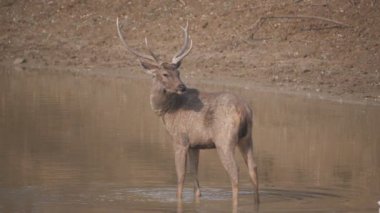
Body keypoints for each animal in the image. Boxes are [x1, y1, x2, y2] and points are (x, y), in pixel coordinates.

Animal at [116, 17, 258, 204]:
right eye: (165, 74)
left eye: (178, 72)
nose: (181, 86)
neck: (168, 110)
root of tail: (244, 111)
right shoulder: (195, 144)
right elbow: (194, 174)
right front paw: (197, 198)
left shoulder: (180, 139)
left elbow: (181, 176)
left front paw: (178, 200)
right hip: (247, 138)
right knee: (253, 169)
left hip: (224, 139)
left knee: (235, 172)